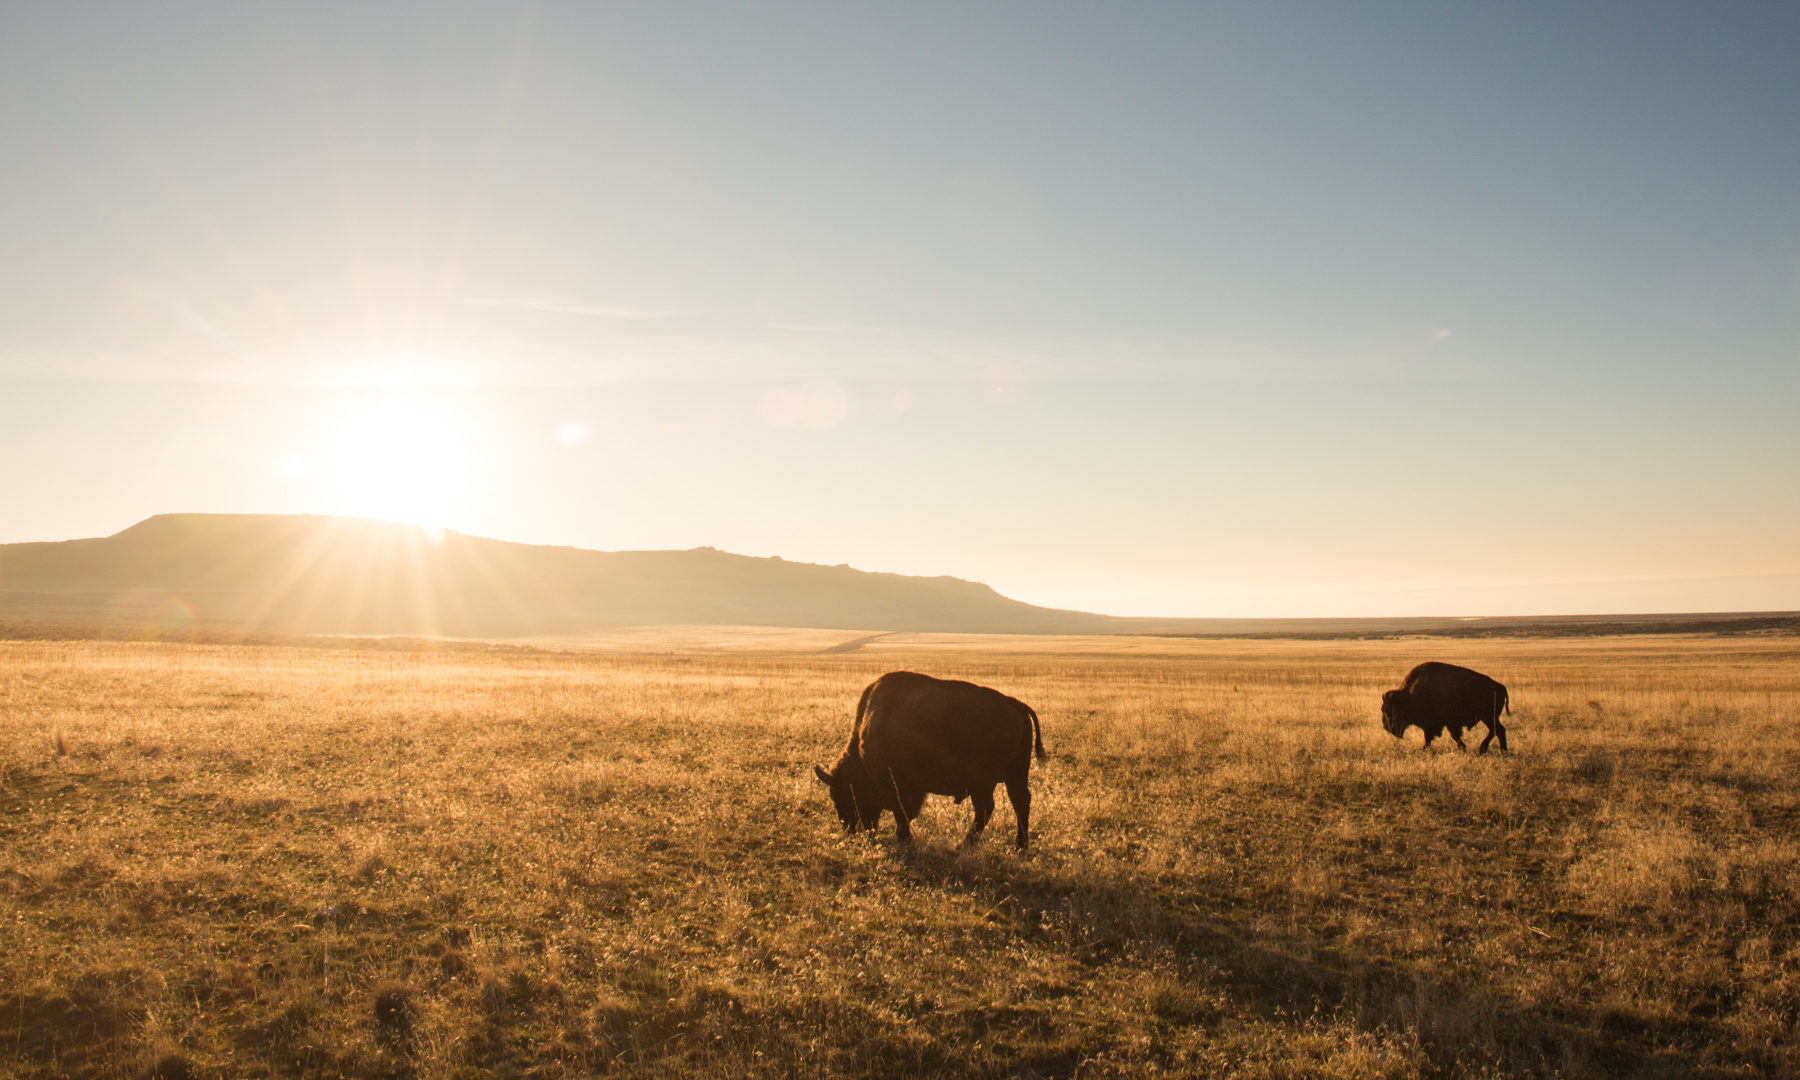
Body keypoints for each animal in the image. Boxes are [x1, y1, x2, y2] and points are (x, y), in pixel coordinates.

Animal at [813, 666, 1051, 853]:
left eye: (842, 794)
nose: (848, 828)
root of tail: (1014, 704)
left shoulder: (898, 785)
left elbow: (902, 813)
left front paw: (905, 840)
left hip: (985, 781)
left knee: (990, 808)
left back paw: (966, 845)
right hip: (1013, 775)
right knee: (1018, 802)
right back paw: (1017, 845)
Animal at [1382, 662, 1512, 756]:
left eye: (1389, 710)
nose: (1386, 726)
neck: (1408, 696)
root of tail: (1501, 687)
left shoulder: (1445, 723)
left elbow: (1450, 736)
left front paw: (1463, 748)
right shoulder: (1439, 725)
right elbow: (1432, 738)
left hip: (1488, 717)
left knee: (1497, 730)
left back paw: (1488, 749)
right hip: (1489, 718)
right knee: (1498, 730)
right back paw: (1499, 750)